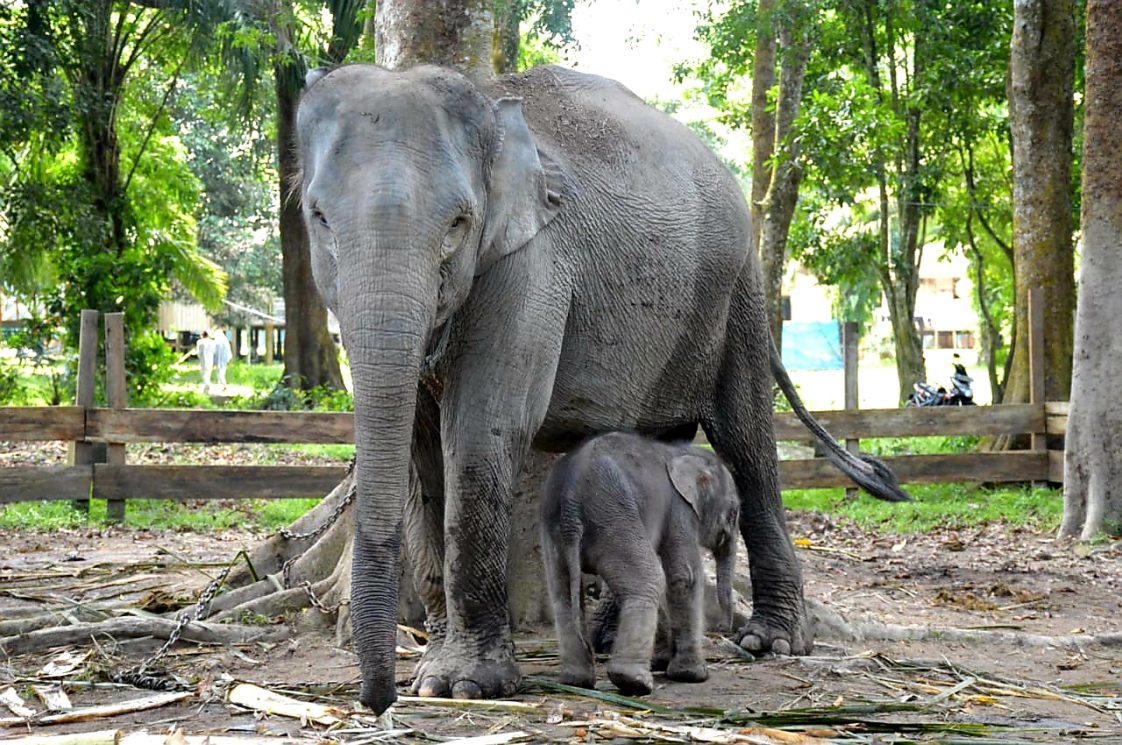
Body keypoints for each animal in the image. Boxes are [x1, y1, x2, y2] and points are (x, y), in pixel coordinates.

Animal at [540, 433, 740, 695]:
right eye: (734, 512)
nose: (725, 628)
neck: (680, 451)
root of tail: (570, 502)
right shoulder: (680, 510)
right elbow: (684, 577)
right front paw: (695, 675)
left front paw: (663, 661)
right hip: (614, 515)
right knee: (649, 580)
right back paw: (635, 683)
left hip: (556, 530)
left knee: (561, 593)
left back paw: (576, 681)